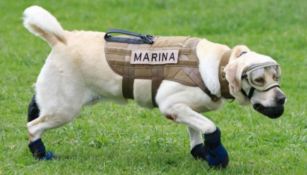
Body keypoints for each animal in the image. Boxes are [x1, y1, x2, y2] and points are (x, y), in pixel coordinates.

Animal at [23, 4, 286, 167]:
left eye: (277, 77)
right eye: (258, 80)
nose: (282, 99)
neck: (217, 67)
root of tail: (61, 38)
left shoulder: (185, 109)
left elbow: (196, 131)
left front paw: (201, 154)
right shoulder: (171, 105)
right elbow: (210, 127)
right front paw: (218, 156)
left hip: (56, 100)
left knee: (34, 107)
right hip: (64, 109)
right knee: (33, 127)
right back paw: (41, 154)